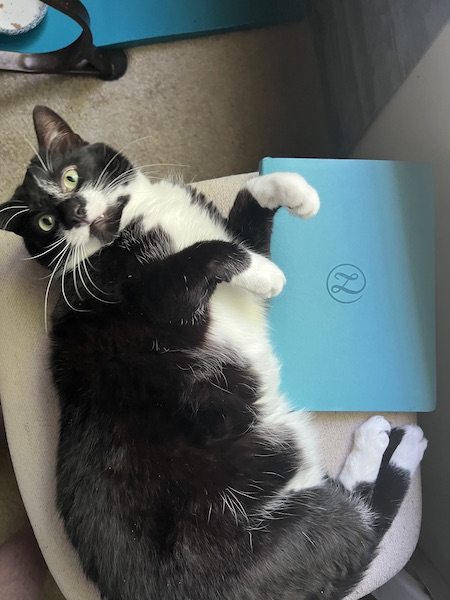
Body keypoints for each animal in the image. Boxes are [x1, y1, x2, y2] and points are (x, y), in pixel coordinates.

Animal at [0, 108, 428, 600]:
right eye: (44, 224)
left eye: (69, 176)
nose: (70, 211)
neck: (134, 221)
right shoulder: (149, 304)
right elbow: (202, 255)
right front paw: (266, 273)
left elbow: (249, 201)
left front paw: (298, 191)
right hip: (279, 529)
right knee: (362, 525)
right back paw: (392, 441)